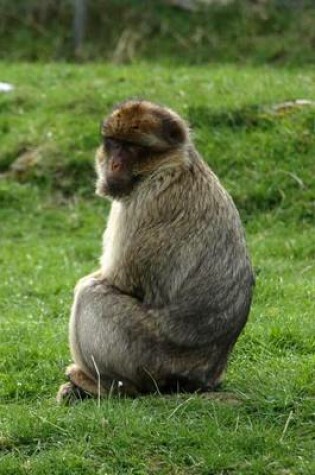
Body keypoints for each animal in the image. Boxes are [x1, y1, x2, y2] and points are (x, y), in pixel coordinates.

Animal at [56, 98, 254, 404]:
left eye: (132, 147)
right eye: (114, 143)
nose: (114, 163)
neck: (168, 164)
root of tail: (206, 376)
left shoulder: (147, 201)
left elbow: (120, 280)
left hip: (149, 358)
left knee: (90, 293)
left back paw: (107, 386)